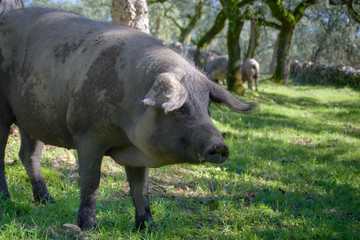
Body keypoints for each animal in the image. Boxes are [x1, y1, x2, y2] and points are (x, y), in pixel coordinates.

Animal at [0, 8, 256, 231]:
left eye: (206, 108)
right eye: (180, 109)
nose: (220, 146)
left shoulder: (137, 153)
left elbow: (140, 189)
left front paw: (149, 228)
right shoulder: (87, 135)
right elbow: (91, 181)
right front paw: (87, 227)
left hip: (32, 117)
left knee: (28, 155)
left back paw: (48, 202)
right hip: (4, 111)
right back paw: (7, 200)